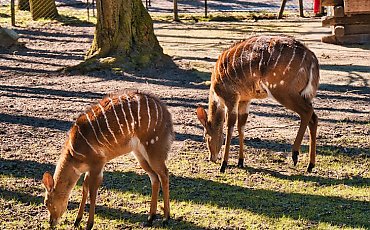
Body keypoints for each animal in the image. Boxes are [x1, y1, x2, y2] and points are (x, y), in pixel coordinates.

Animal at [41, 90, 174, 229]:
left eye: (47, 203)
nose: (51, 222)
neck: (74, 153)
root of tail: (166, 113)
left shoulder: (98, 164)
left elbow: (92, 191)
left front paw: (89, 224)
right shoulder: (89, 169)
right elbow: (85, 188)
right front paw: (77, 221)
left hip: (153, 148)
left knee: (164, 174)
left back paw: (166, 218)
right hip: (140, 154)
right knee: (154, 178)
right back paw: (150, 218)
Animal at [197, 35, 320, 172]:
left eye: (205, 136)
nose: (211, 158)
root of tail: (312, 59)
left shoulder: (231, 97)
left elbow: (230, 126)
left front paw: (223, 165)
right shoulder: (245, 100)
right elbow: (241, 126)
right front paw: (240, 162)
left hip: (283, 91)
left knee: (307, 112)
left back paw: (295, 154)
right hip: (305, 95)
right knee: (313, 118)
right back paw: (310, 165)